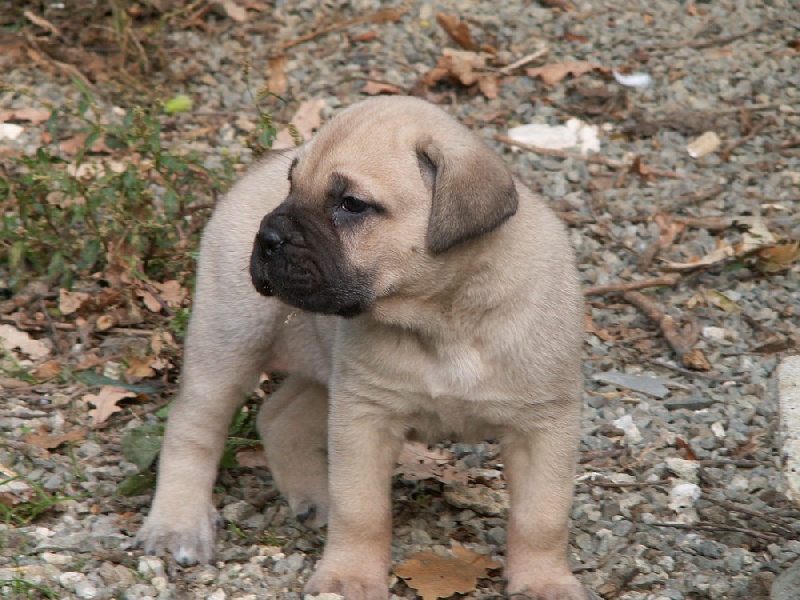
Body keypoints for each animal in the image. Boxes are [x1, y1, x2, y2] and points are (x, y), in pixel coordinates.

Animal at [138, 97, 588, 600]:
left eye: (352, 205)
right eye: (291, 186)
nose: (268, 237)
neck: (443, 320)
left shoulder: (543, 427)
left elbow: (542, 517)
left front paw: (545, 581)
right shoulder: (363, 417)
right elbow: (361, 510)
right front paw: (348, 577)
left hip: (321, 370)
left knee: (278, 417)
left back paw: (314, 496)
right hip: (229, 341)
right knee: (193, 427)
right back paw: (178, 524)